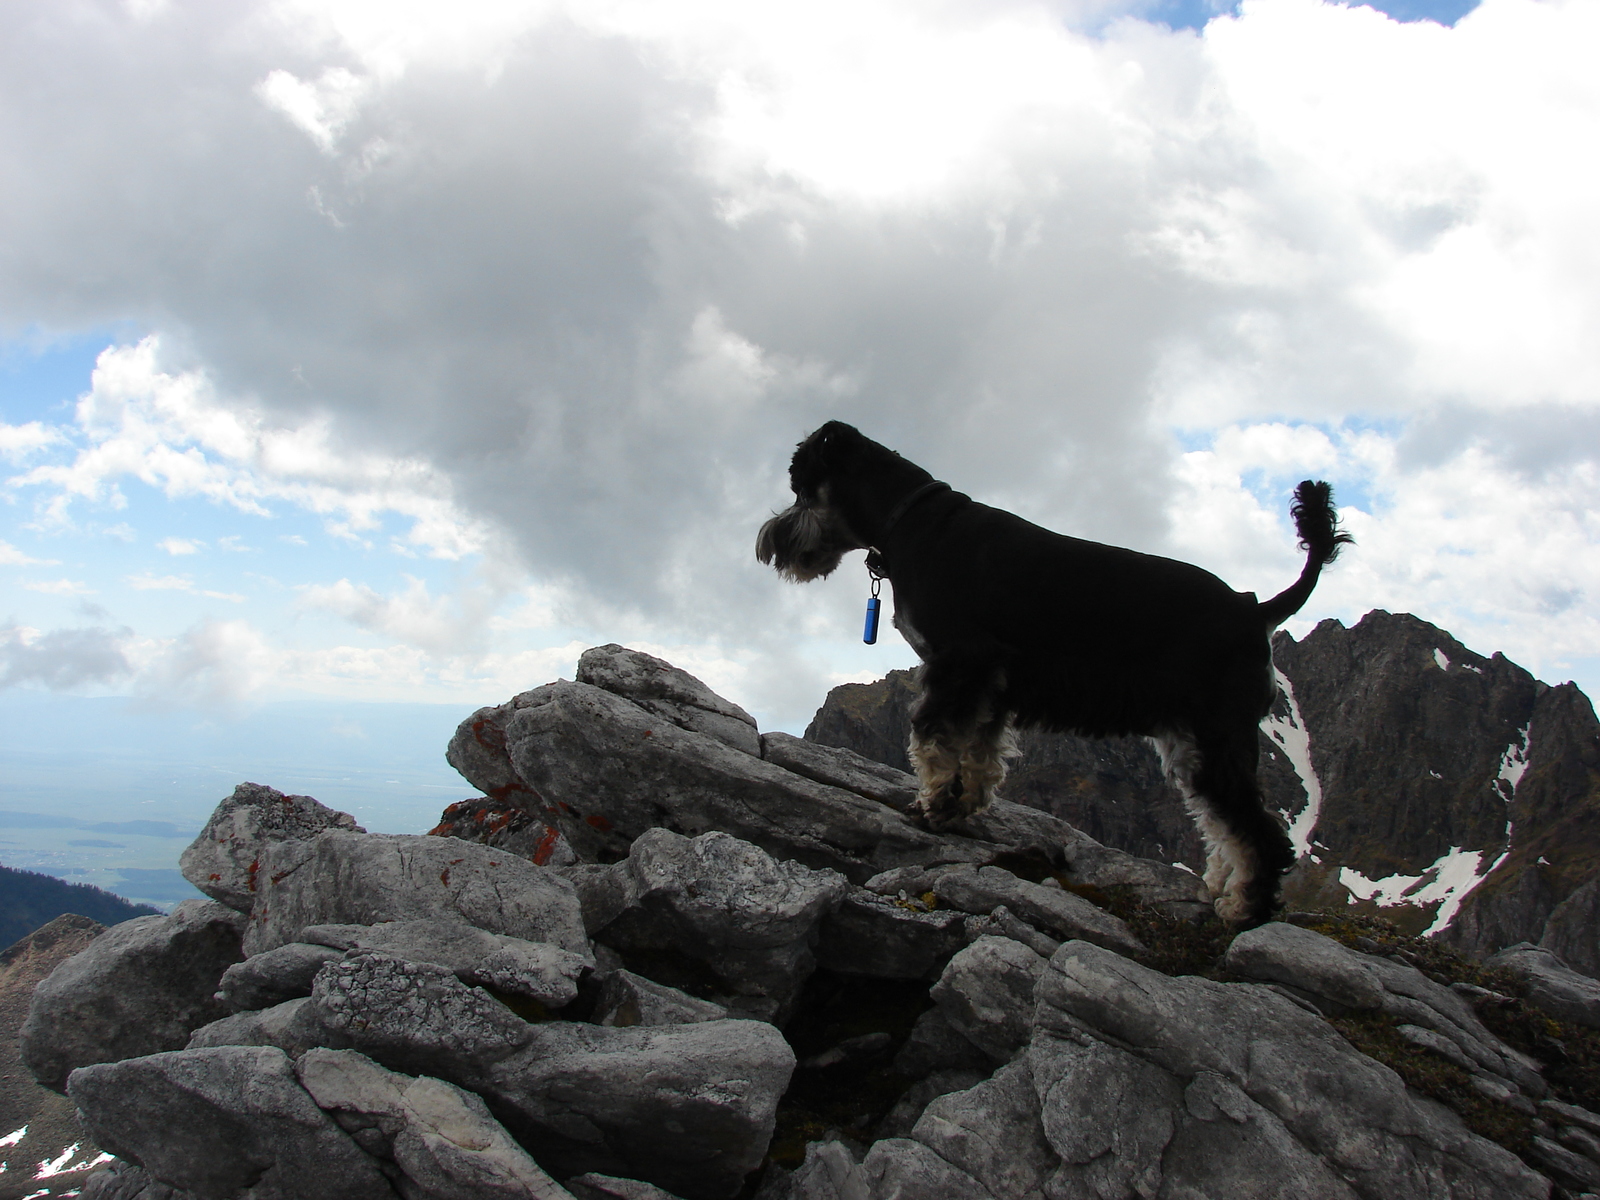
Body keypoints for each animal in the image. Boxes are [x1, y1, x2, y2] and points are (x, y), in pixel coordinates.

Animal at [761, 422, 1350, 928]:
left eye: (801, 488)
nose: (769, 542)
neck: (909, 521)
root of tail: (1256, 609)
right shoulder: (988, 686)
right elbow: (980, 755)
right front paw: (959, 808)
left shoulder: (957, 668)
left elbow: (934, 743)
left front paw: (930, 809)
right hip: (1192, 741)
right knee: (1221, 819)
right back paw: (1221, 889)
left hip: (1217, 735)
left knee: (1256, 829)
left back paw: (1246, 908)